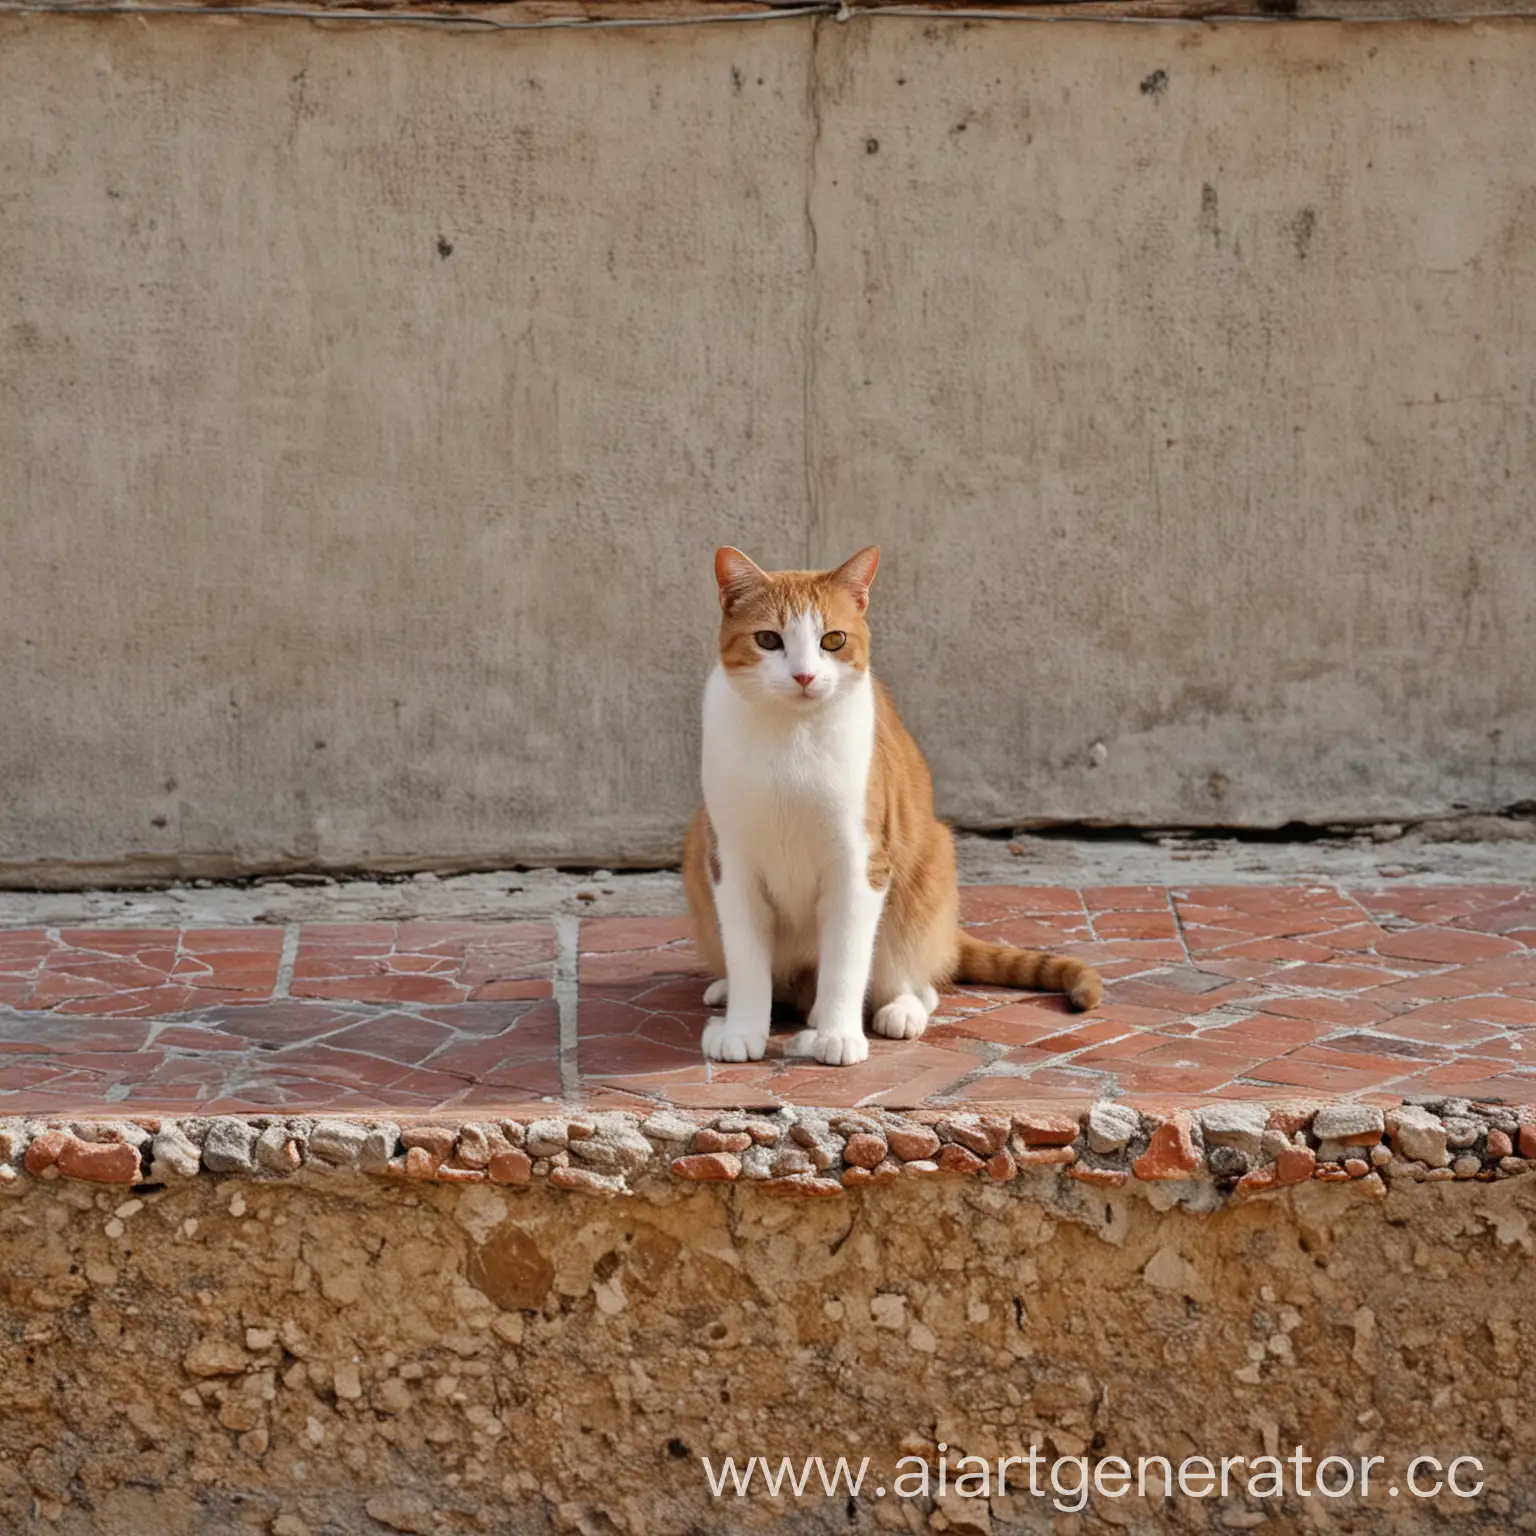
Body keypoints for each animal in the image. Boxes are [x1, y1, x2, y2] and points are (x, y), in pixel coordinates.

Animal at [685, 546, 1105, 1062]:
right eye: (768, 639)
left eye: (833, 640)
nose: (804, 675)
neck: (791, 738)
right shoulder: (729, 860)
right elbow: (747, 955)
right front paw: (742, 1027)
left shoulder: (862, 861)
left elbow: (847, 959)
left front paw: (839, 1034)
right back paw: (731, 991)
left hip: (928, 864)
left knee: (917, 978)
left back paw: (895, 1010)